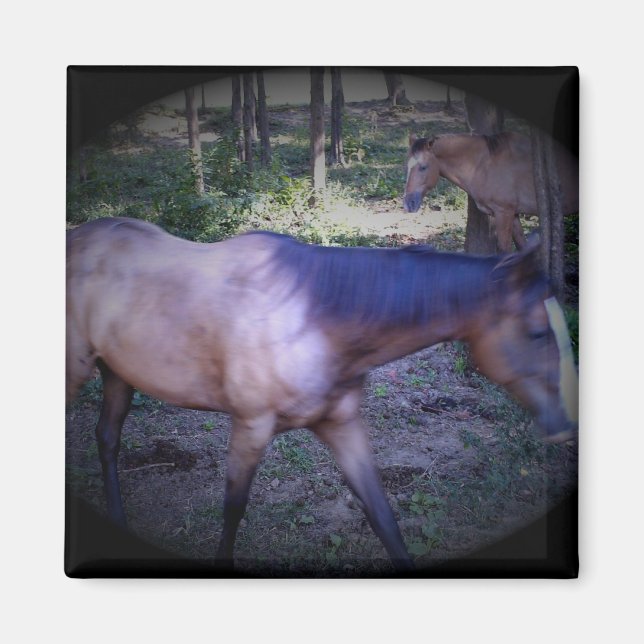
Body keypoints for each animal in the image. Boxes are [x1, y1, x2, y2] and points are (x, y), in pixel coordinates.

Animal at [66, 217, 578, 571]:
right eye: (537, 333)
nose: (565, 427)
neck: (312, 319)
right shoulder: (250, 427)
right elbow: (233, 509)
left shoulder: (341, 426)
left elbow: (383, 516)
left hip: (118, 374)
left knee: (107, 439)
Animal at [403, 132, 579, 252]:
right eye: (407, 166)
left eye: (423, 167)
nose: (408, 204)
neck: (484, 164)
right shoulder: (513, 214)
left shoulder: (504, 213)